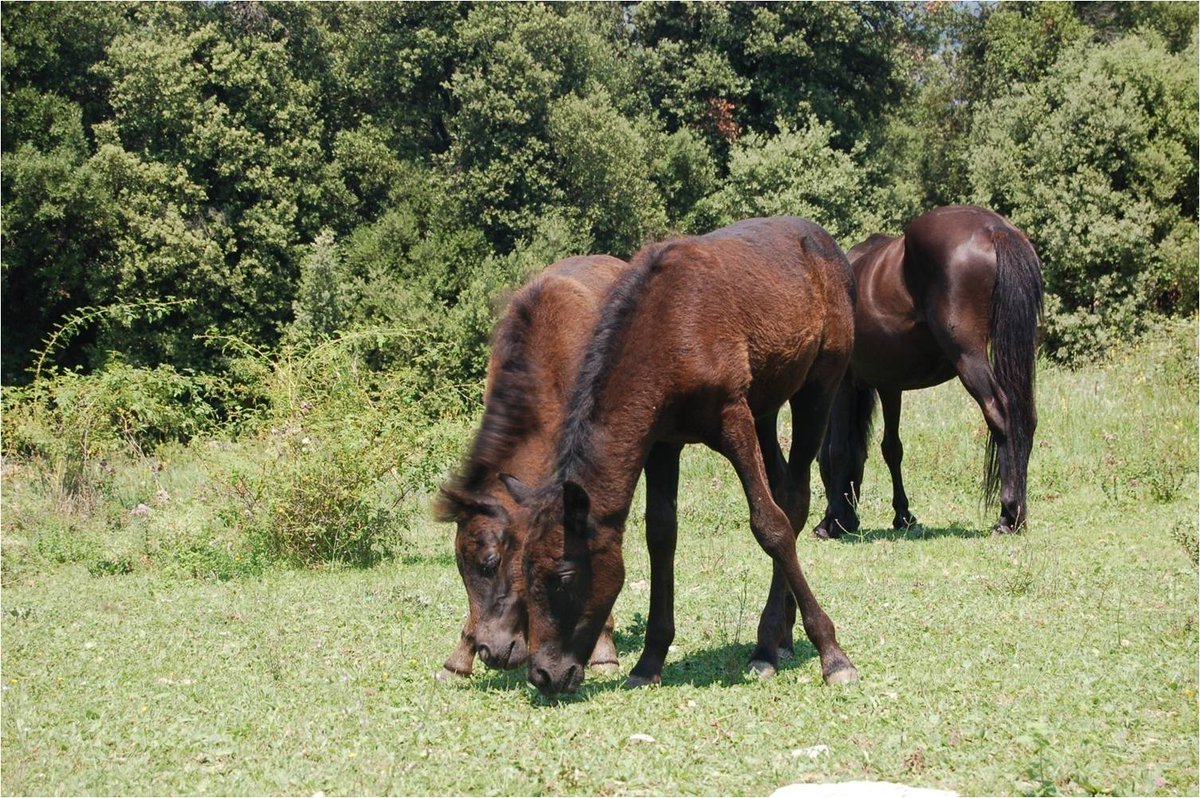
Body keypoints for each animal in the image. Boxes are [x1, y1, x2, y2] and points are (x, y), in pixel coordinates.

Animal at [500, 217, 860, 698]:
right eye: (523, 572)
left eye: (564, 576)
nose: (544, 674)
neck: (667, 330)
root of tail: (826, 245)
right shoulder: (662, 444)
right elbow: (661, 536)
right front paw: (649, 661)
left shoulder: (733, 418)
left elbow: (770, 526)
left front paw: (833, 655)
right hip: (766, 406)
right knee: (785, 486)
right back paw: (778, 639)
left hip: (816, 389)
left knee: (795, 500)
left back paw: (769, 643)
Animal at [815, 205, 1043, 539]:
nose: (848, 520)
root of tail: (994, 229)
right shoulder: (889, 386)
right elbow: (890, 448)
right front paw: (902, 515)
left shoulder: (846, 385)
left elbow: (839, 450)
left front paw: (829, 522)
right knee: (1024, 418)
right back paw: (1019, 514)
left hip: (968, 358)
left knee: (1001, 415)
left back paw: (1008, 512)